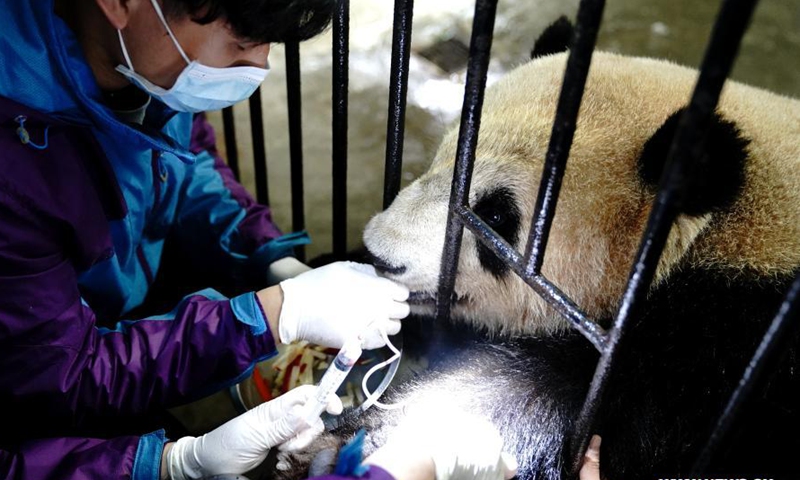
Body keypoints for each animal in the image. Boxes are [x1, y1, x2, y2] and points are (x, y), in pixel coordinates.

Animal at [270, 19, 800, 480]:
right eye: (444, 158)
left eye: (495, 217)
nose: (382, 257)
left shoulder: (714, 352)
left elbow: (531, 398)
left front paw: (350, 450)